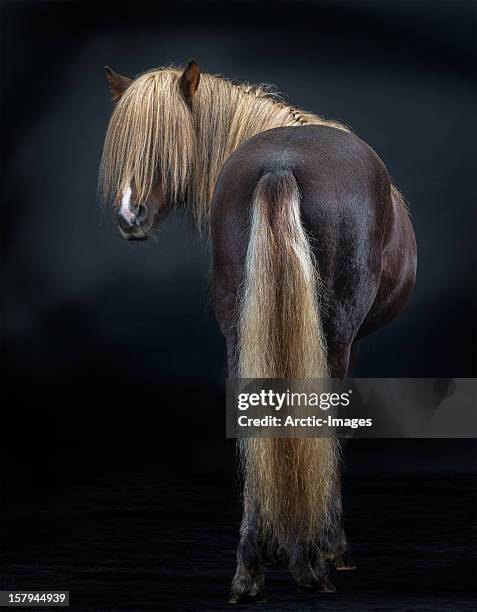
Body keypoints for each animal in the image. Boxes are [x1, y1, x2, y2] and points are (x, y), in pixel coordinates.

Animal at [98, 61, 414, 604]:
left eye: (167, 145)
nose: (128, 214)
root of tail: (281, 165)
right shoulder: (346, 348)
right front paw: (333, 547)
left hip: (240, 333)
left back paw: (250, 568)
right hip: (332, 338)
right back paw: (312, 559)